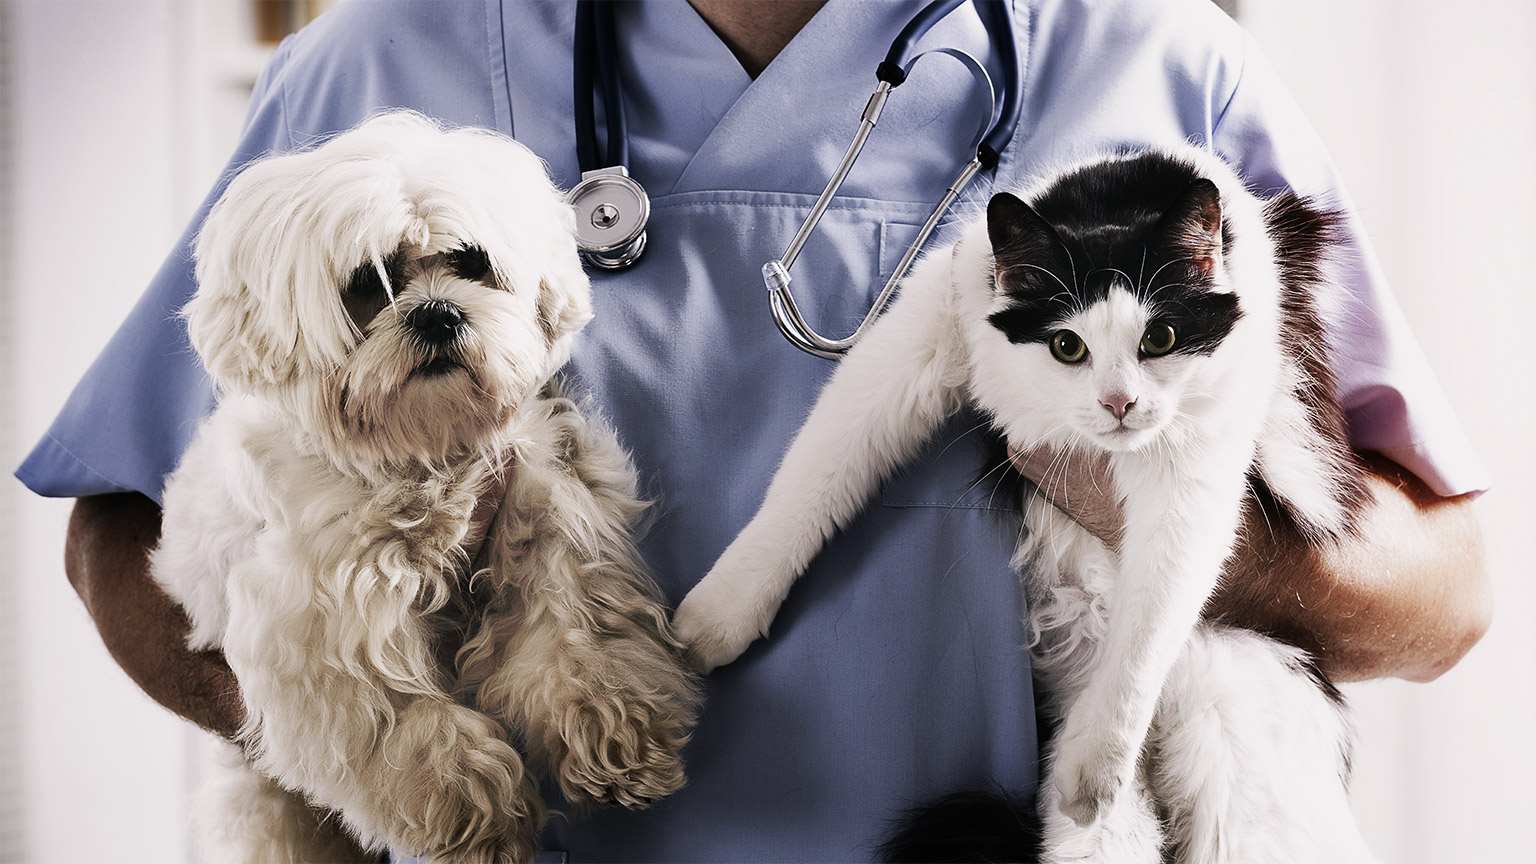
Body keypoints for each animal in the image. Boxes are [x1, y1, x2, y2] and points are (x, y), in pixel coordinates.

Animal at [149, 114, 703, 860]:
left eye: (470, 262)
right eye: (368, 283)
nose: (437, 313)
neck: (424, 456)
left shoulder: (547, 518)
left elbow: (575, 641)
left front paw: (614, 733)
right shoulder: (328, 624)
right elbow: (410, 728)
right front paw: (477, 819)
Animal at [672, 144, 1382, 854]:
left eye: (1160, 339)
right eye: (1068, 345)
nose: (1119, 403)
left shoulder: (1195, 466)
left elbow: (1150, 622)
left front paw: (1096, 764)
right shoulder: (926, 332)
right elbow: (812, 477)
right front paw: (715, 620)